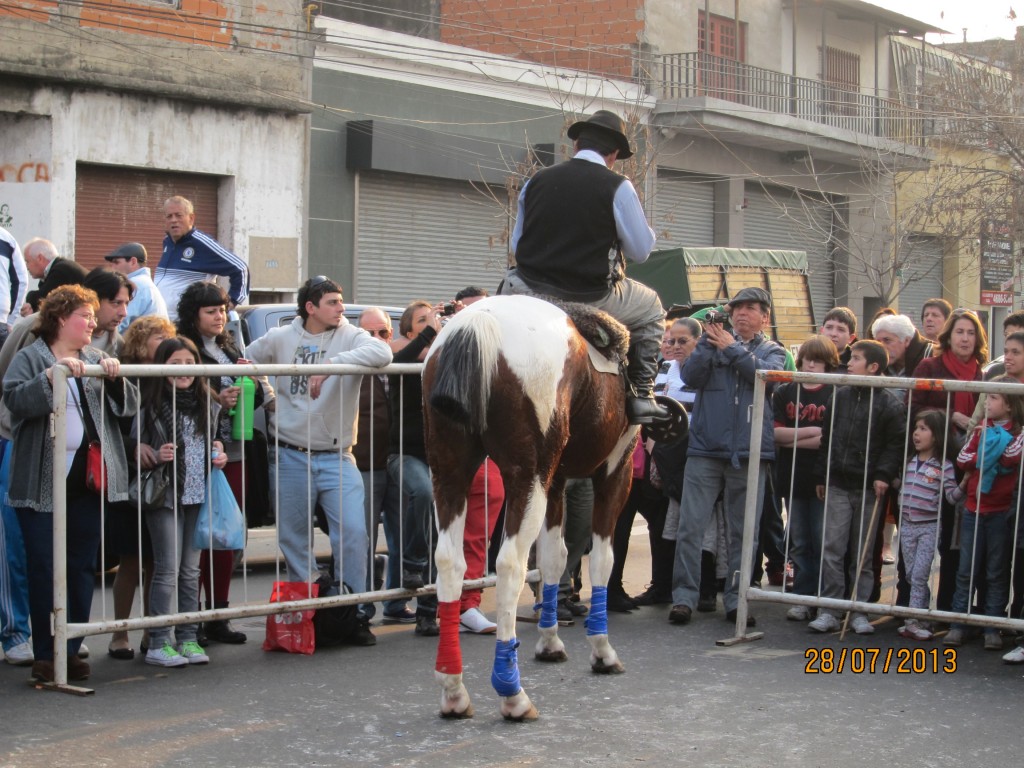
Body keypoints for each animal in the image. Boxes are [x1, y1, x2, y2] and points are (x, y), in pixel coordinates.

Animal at [421, 294, 663, 720]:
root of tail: (479, 322)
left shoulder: (558, 479)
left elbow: (554, 557)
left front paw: (549, 641)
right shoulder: (615, 470)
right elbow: (601, 560)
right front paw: (602, 650)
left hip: (451, 471)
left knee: (450, 563)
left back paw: (453, 689)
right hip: (527, 475)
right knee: (509, 566)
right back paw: (511, 692)